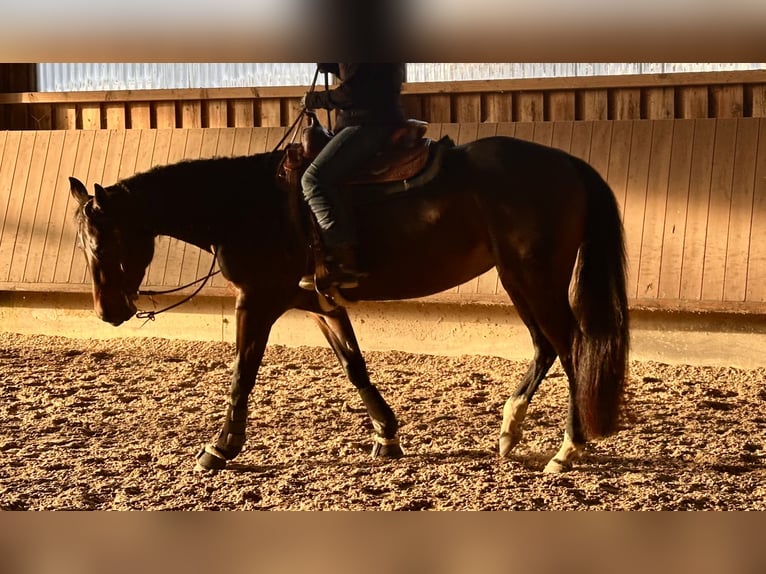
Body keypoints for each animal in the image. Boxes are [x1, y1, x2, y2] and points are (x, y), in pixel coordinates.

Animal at [69, 131, 629, 474]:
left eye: (103, 242)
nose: (107, 312)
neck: (244, 205)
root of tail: (567, 162)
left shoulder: (257, 300)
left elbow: (242, 373)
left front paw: (219, 447)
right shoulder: (319, 303)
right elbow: (354, 366)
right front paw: (387, 435)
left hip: (535, 277)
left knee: (570, 346)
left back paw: (567, 449)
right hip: (517, 278)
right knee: (545, 346)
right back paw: (510, 432)